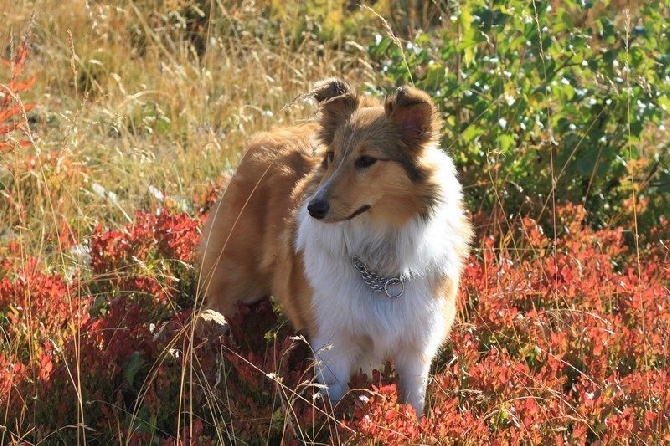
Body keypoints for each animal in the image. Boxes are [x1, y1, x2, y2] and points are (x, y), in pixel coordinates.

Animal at [200, 78, 472, 416]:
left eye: (366, 160)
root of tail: (271, 133)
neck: (380, 261)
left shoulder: (416, 350)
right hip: (235, 282)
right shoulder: (333, 344)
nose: (313, 209)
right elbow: (332, 405)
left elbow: (414, 404)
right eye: (331, 156)